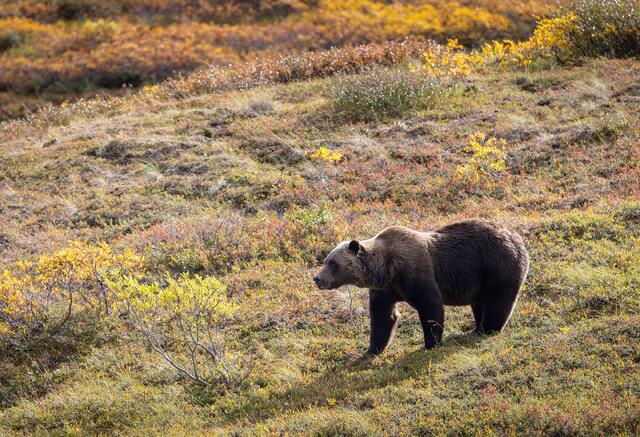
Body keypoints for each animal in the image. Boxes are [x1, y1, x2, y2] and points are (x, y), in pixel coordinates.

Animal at [313, 219, 529, 355]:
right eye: (326, 261)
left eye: (333, 263)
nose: (317, 278)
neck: (388, 269)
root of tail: (518, 238)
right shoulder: (385, 289)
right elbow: (382, 316)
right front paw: (372, 349)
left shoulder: (415, 274)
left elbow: (430, 306)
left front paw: (431, 343)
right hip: (479, 277)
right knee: (479, 302)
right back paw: (476, 328)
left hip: (496, 265)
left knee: (497, 301)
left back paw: (487, 329)